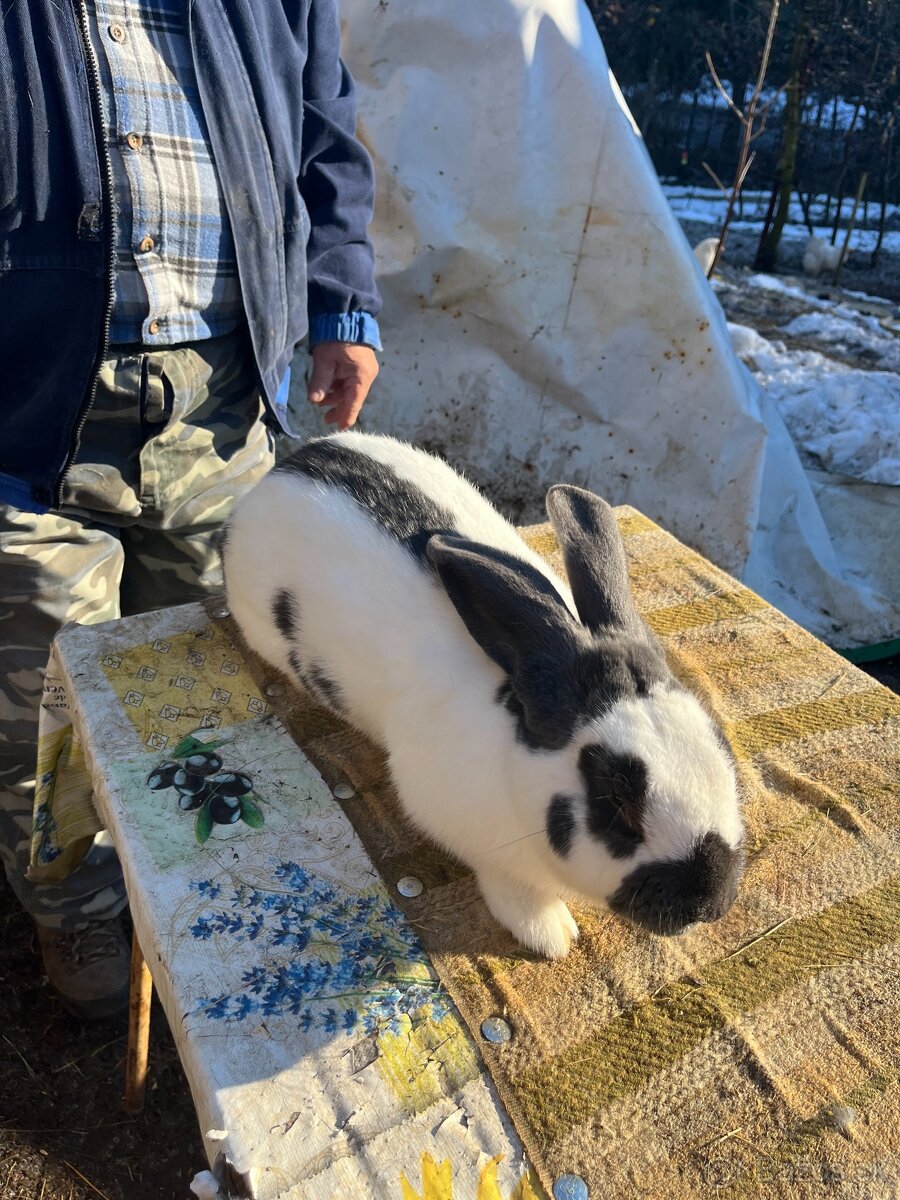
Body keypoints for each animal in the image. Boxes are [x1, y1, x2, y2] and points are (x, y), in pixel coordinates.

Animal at [225, 432, 748, 955]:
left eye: (719, 743)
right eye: (615, 796)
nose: (707, 902)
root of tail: (281, 471)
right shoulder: (467, 833)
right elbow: (512, 887)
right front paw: (552, 936)